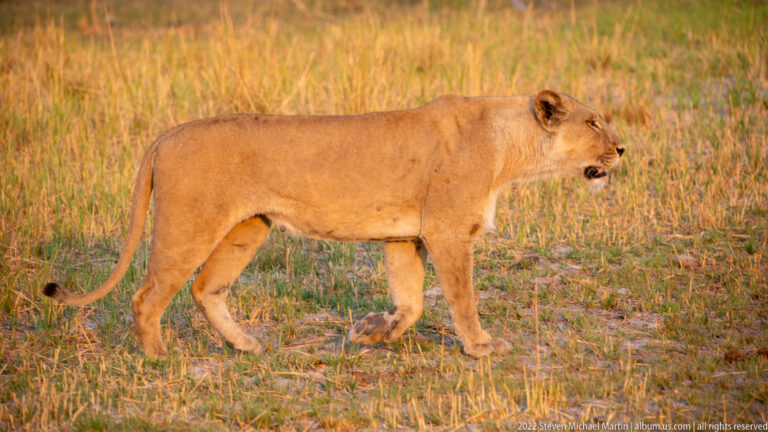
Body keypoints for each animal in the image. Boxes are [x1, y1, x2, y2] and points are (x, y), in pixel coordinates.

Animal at [43, 90, 624, 358]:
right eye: (593, 121)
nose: (622, 149)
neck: (510, 148)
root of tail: (167, 134)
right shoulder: (446, 232)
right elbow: (461, 297)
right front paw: (481, 346)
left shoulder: (403, 235)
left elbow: (412, 302)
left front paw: (369, 333)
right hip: (188, 226)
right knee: (147, 295)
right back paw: (160, 359)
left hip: (249, 228)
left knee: (207, 289)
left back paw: (246, 346)